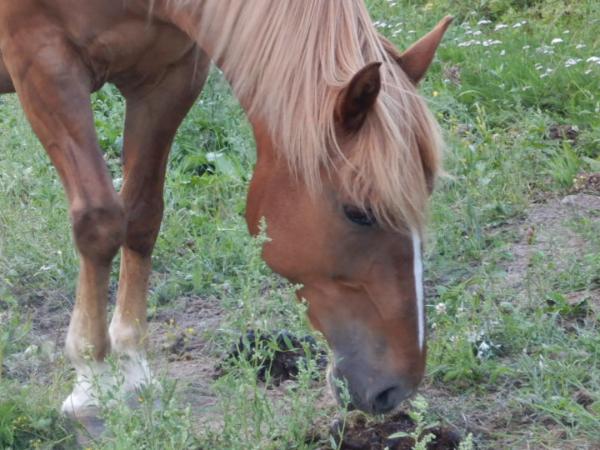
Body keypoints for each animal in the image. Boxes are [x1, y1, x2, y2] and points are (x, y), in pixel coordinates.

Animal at [0, 0, 451, 418]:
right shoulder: (43, 63)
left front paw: (131, 368)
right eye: (358, 213)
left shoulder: (170, 75)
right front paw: (91, 382)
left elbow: (142, 216)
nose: (397, 387)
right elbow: (101, 221)